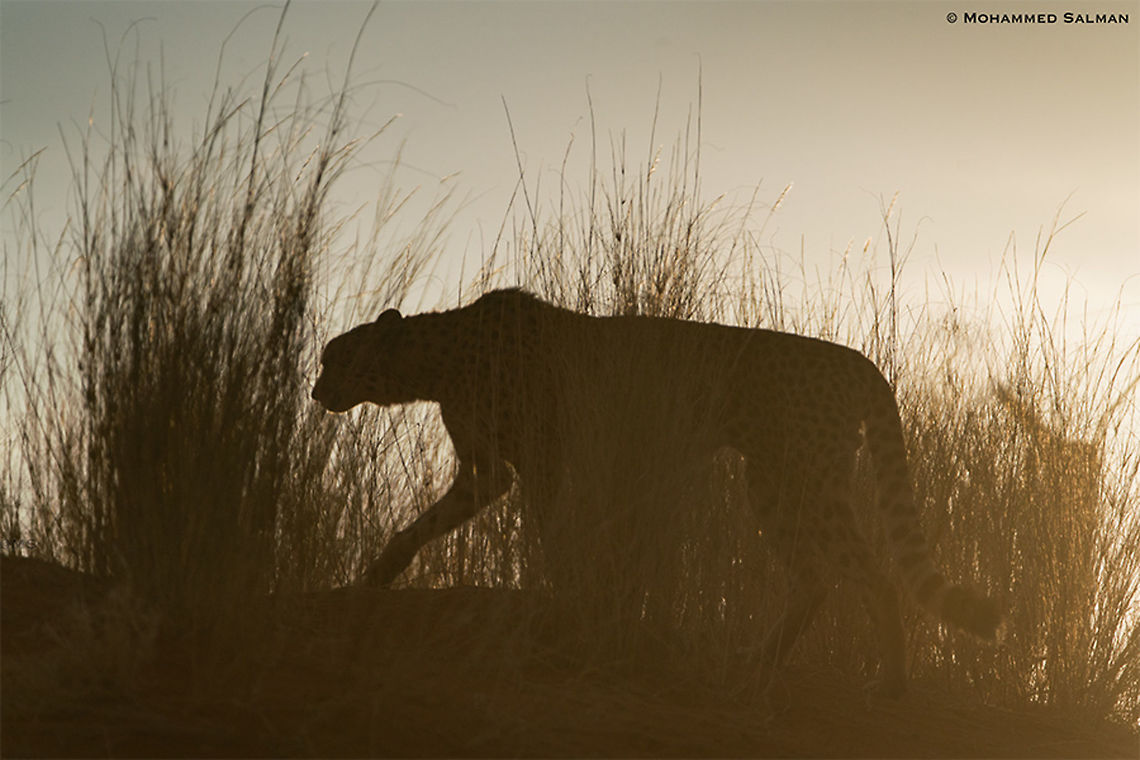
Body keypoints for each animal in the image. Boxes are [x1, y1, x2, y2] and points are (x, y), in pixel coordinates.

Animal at [312, 288, 1001, 697]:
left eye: (334, 358)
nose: (316, 392)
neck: (441, 356)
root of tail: (853, 356)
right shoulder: (487, 471)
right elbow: (424, 524)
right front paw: (377, 575)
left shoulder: (544, 459)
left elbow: (548, 533)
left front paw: (555, 603)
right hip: (775, 480)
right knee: (813, 577)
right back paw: (762, 659)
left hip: (808, 476)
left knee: (874, 577)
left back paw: (892, 682)